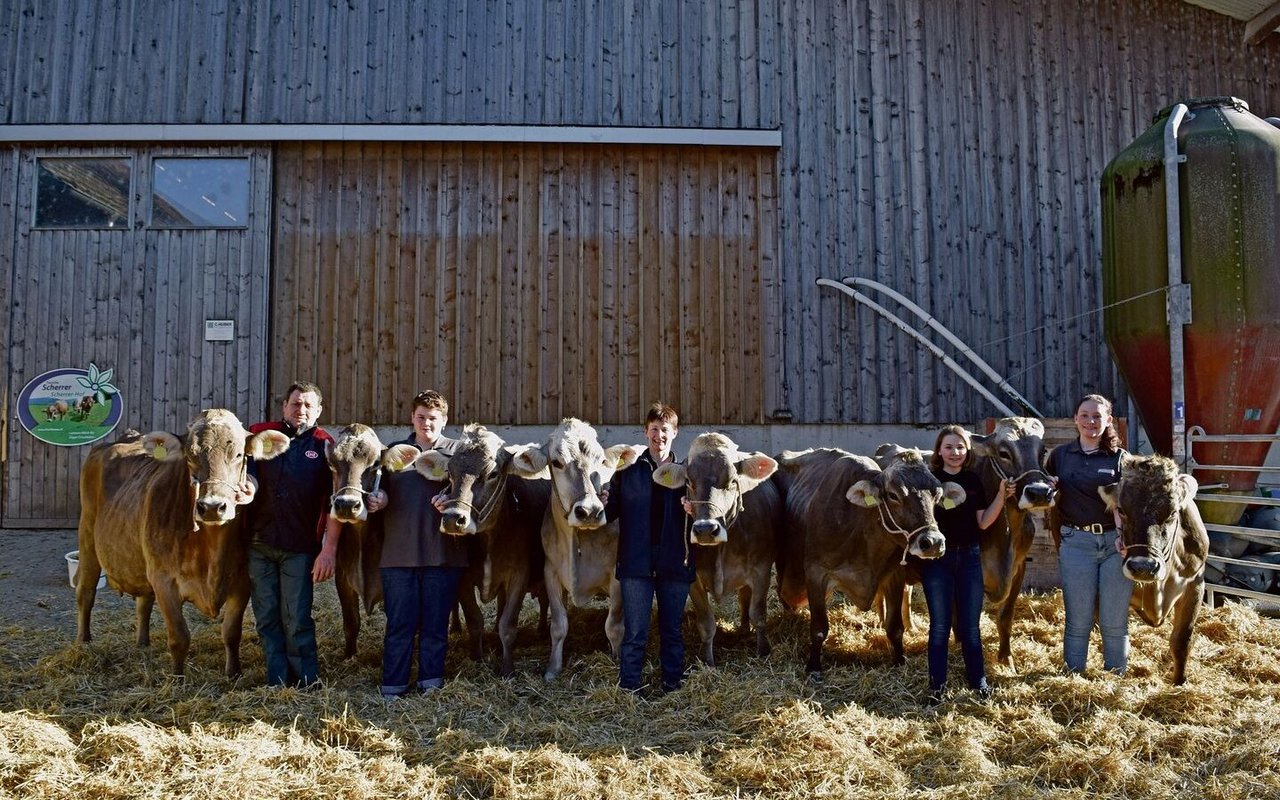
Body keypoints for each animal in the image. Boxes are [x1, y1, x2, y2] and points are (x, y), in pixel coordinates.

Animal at [76, 404, 289, 675]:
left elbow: (231, 632)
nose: (212, 506)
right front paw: (177, 677)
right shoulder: (164, 580)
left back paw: (142, 642)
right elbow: (179, 637)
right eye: (189, 456)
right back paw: (83, 643)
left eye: (240, 454)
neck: (212, 551)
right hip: (87, 535)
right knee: (85, 591)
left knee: (143, 600)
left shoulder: (242, 581)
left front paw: (233, 673)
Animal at [412, 422, 547, 675]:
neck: (489, 541)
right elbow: (474, 620)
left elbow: (508, 625)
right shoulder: (463, 577)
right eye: (449, 473)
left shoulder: (519, 575)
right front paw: (476, 658)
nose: (453, 519)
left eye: (493, 474)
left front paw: (507, 669)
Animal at [509, 417, 645, 680]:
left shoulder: (617, 575)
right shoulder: (551, 572)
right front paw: (553, 669)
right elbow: (559, 625)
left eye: (601, 461)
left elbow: (614, 626)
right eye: (556, 462)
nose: (590, 511)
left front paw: (617, 660)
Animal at [655, 432, 783, 665]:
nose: (705, 529)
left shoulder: (761, 570)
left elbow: (759, 614)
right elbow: (706, 623)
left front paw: (763, 651)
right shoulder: (693, 579)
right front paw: (708, 661)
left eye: (733, 480)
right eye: (688, 481)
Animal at [1100, 453, 1208, 680]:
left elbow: (1181, 641)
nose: (1143, 567)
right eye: (1121, 510)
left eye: (1173, 512)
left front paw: (1179, 682)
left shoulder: (1195, 584)